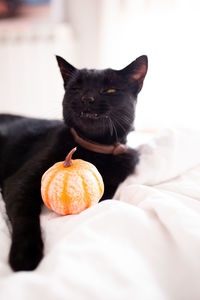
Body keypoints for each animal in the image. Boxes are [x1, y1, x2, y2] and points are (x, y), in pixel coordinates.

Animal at [0, 54, 147, 272]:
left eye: (110, 90)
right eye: (76, 89)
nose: (87, 98)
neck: (94, 151)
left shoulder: (111, 186)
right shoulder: (19, 183)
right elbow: (26, 216)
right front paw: (25, 255)